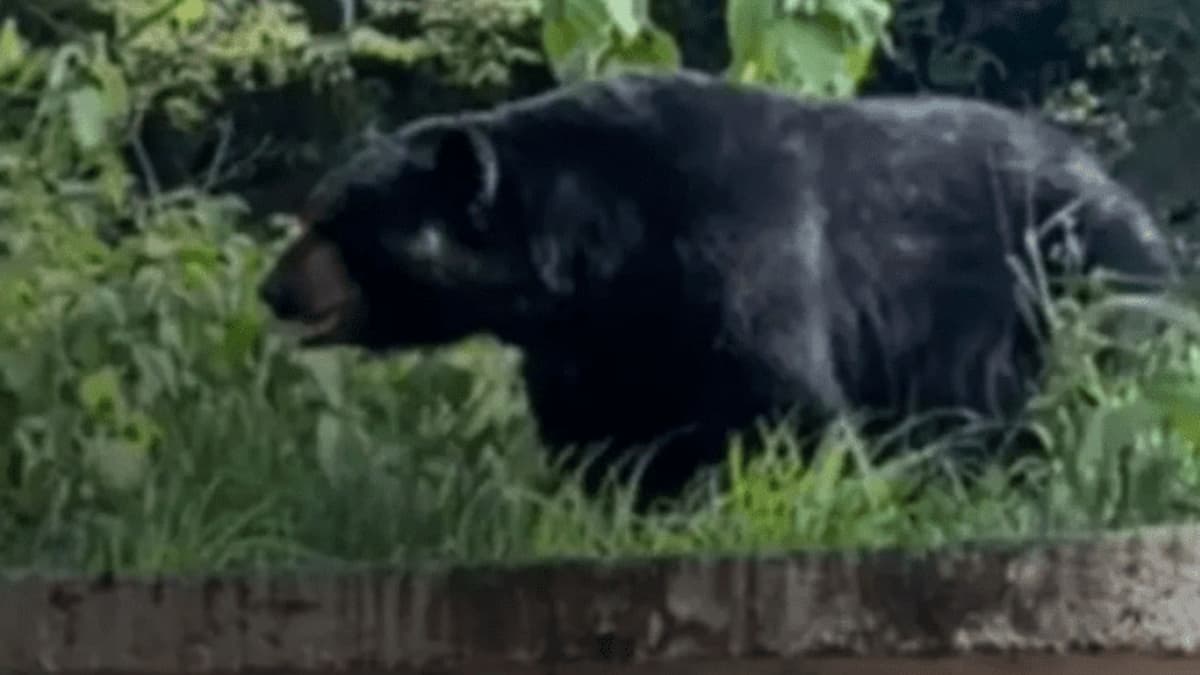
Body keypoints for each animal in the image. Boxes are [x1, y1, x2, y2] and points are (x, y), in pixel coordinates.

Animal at [257, 70, 1178, 506]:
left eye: (332, 221)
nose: (273, 290)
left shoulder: (736, 247)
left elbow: (782, 402)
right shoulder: (591, 340)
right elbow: (598, 429)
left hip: (1083, 278)